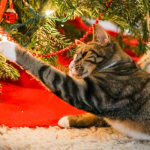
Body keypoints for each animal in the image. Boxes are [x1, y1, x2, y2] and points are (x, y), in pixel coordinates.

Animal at [0, 24, 150, 140]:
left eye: (85, 55)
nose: (71, 65)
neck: (116, 65)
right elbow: (95, 117)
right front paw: (69, 120)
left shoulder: (94, 92)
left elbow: (47, 71)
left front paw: (10, 47)